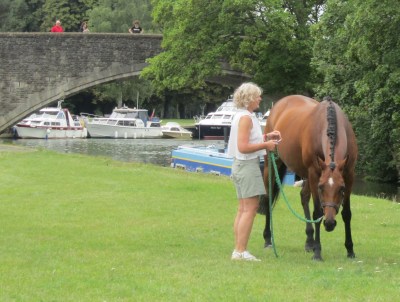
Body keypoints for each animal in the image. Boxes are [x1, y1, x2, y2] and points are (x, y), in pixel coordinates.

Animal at [264, 95, 358, 260]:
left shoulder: (349, 174)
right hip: (272, 163)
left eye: (341, 189)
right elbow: (317, 213)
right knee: (269, 196)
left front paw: (350, 250)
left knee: (304, 196)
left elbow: (347, 213)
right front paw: (318, 252)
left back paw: (309, 241)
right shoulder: (314, 173)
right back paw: (268, 239)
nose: (329, 223)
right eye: (321, 188)